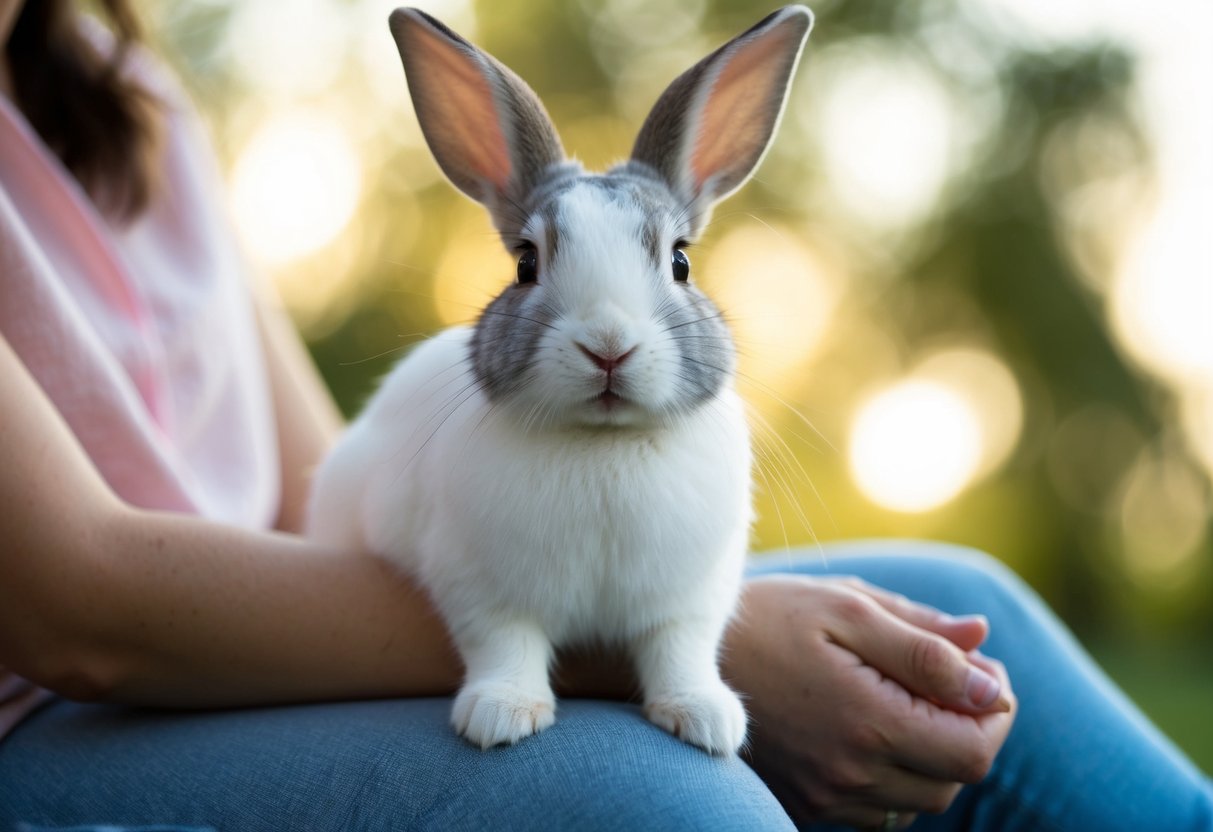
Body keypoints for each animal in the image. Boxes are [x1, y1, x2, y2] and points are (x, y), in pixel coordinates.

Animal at [306, 5, 813, 755]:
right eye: (525, 263)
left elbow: (681, 652)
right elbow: (504, 644)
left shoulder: (691, 598)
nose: (608, 347)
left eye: (681, 262)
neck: (601, 444)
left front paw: (706, 718)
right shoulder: (481, 585)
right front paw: (501, 716)